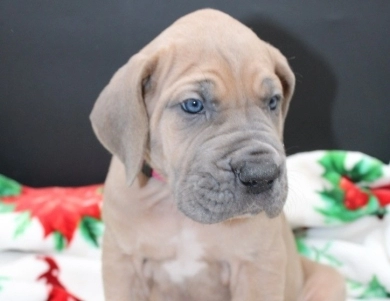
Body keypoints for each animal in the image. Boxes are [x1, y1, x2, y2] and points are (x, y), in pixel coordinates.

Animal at [90, 8, 346, 298]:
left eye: (273, 102)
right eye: (193, 105)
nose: (261, 176)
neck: (177, 212)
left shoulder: (258, 264)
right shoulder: (122, 262)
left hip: (327, 281)